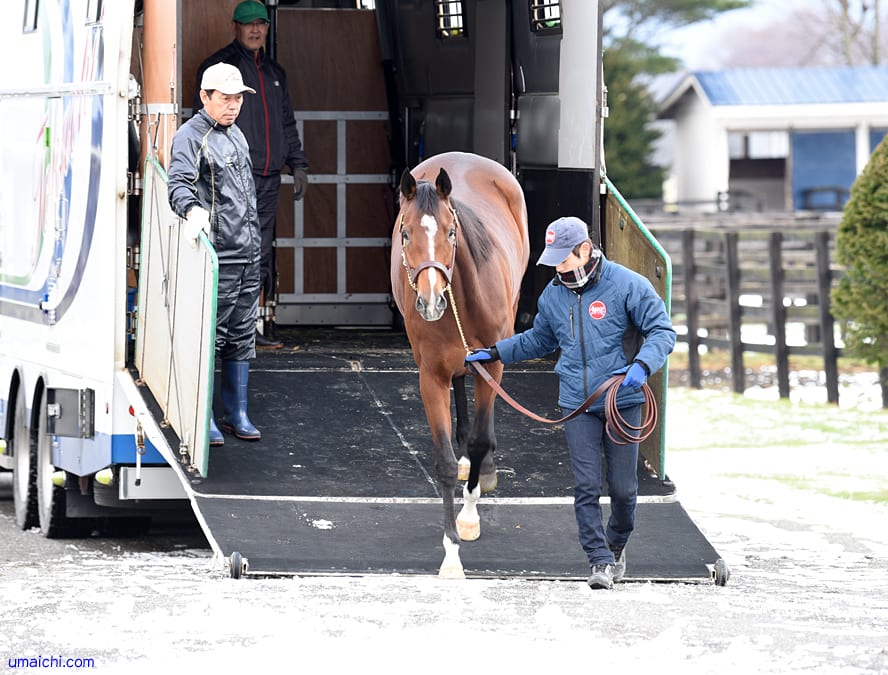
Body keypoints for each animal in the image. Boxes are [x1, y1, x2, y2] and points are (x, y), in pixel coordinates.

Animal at [388, 151, 528, 580]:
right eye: (405, 234)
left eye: (452, 233)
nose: (432, 301)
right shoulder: (430, 377)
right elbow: (445, 463)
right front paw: (451, 554)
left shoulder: (493, 366)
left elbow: (482, 438)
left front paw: (469, 518)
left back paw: (485, 468)